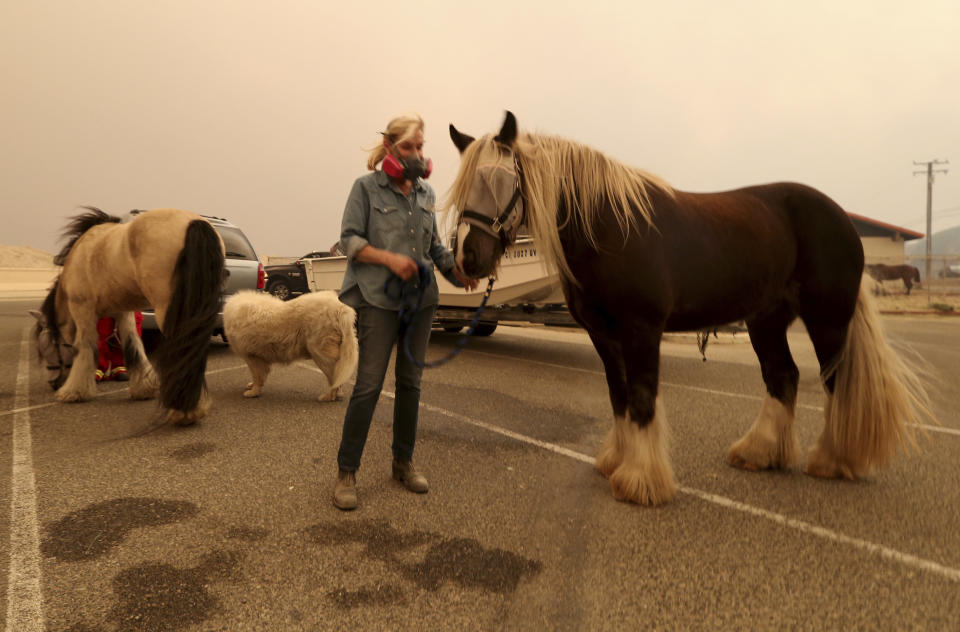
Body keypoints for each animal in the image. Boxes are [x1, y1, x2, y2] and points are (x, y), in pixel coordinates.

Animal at [31, 207, 226, 424]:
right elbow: (133, 346)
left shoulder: (82, 309)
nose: (54, 384)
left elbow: (85, 348)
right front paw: (144, 389)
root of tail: (194, 222)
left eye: (46, 347)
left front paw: (74, 391)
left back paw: (183, 411)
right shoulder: (123, 313)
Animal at [223, 290, 358, 400]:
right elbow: (259, 376)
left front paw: (253, 392)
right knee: (338, 378)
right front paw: (252, 386)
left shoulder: (252, 357)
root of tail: (341, 309)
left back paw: (328, 396)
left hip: (321, 353)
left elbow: (257, 376)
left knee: (334, 379)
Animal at [446, 113, 932, 506]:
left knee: (835, 380)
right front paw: (616, 461)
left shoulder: (641, 330)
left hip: (827, 318)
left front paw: (641, 481)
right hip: (766, 320)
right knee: (783, 377)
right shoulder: (604, 336)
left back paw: (831, 460)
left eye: (497, 180)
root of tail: (843, 219)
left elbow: (642, 398)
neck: (610, 227)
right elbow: (619, 396)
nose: (468, 258)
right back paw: (759, 452)